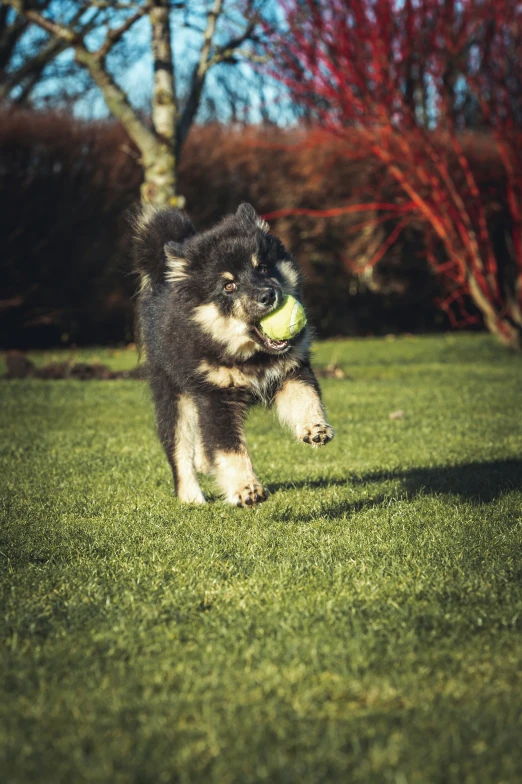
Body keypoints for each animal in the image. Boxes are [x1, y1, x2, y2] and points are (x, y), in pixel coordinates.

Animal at [132, 202, 332, 508]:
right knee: (179, 449)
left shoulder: (291, 371)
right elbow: (229, 450)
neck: (251, 356)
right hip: (174, 396)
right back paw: (190, 496)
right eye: (229, 286)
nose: (268, 295)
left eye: (262, 268)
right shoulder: (216, 398)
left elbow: (306, 399)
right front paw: (246, 489)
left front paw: (314, 427)